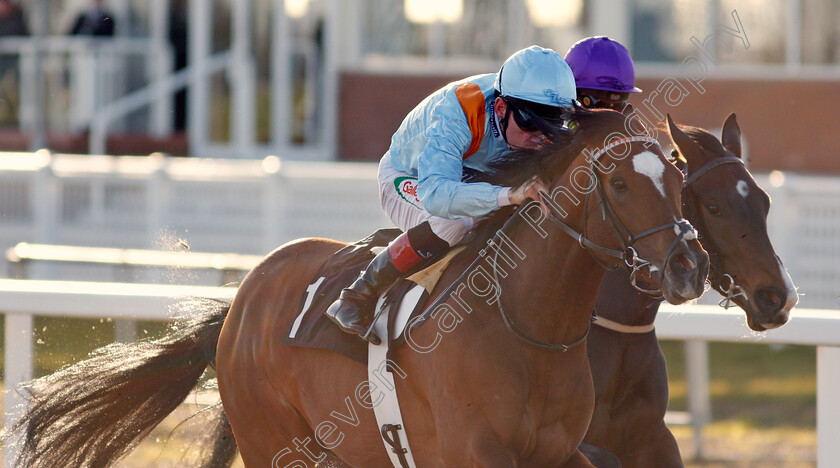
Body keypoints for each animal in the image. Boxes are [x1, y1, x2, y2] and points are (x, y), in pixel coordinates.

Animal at [4, 110, 708, 468]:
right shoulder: (475, 455)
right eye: (620, 183)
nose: (687, 265)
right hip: (275, 443)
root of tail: (242, 301)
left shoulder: (559, 454)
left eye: (677, 178)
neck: (529, 327)